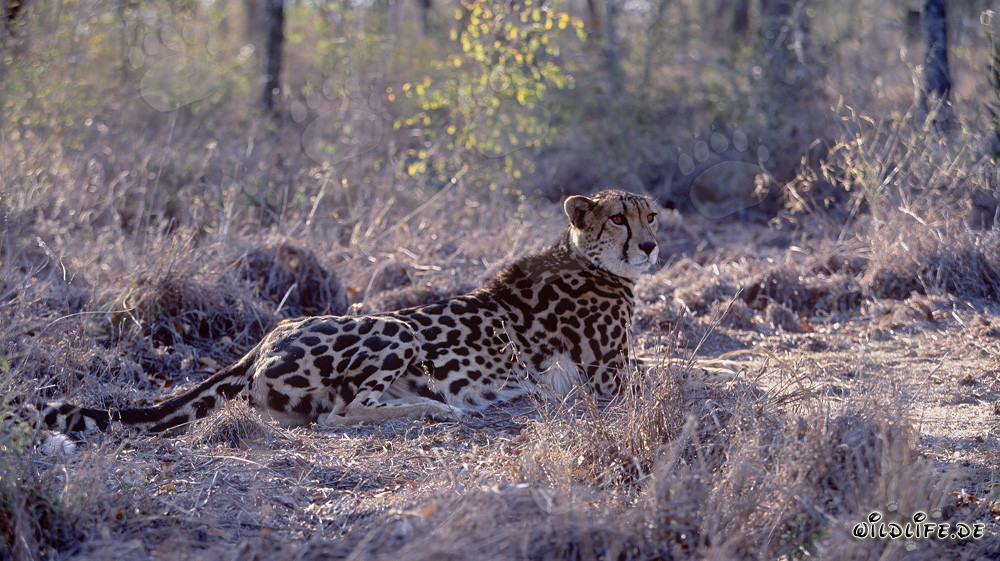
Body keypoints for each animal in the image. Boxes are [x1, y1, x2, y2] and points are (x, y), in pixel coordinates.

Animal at [39, 189, 659, 434]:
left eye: (650, 215)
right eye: (619, 218)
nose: (652, 247)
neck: (588, 257)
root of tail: (267, 337)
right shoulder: (607, 380)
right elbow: (668, 374)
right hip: (396, 326)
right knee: (340, 414)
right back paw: (436, 410)